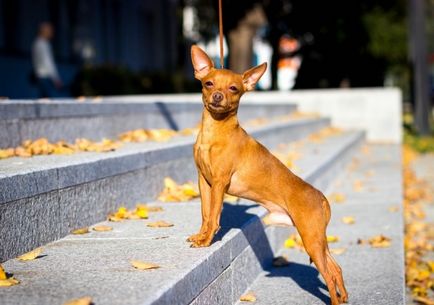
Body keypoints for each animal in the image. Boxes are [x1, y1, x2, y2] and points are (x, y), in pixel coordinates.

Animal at [188, 45, 348, 304]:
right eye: (209, 84)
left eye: (234, 88)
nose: (218, 96)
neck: (215, 131)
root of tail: (322, 198)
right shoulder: (204, 181)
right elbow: (205, 213)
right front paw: (201, 236)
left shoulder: (219, 183)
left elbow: (213, 216)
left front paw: (207, 240)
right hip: (318, 242)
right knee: (336, 269)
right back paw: (343, 296)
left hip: (311, 240)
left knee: (329, 274)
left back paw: (335, 299)